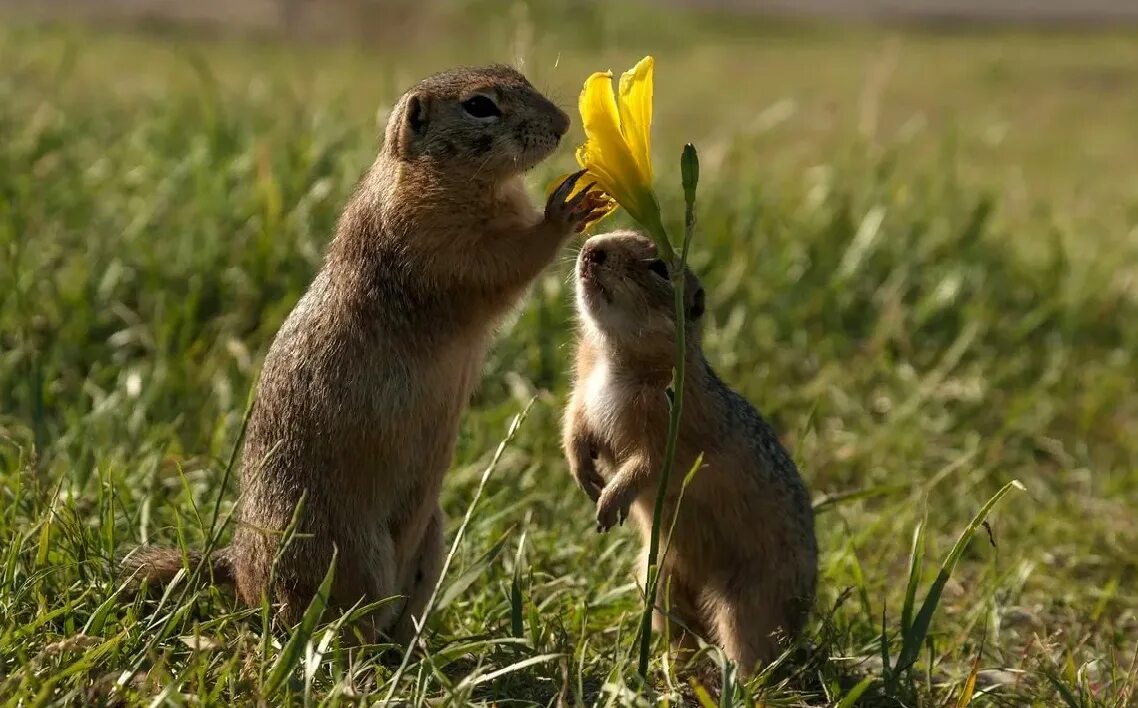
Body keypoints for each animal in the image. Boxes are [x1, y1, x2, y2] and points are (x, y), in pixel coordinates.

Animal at [122, 66, 605, 641]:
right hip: (349, 552)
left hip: (430, 541)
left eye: (521, 77)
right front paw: (565, 210)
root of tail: (237, 565)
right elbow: (504, 261)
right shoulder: (438, 243)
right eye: (480, 106)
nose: (563, 123)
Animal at [562, 232, 819, 678]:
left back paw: (735, 681)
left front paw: (609, 503)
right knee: (681, 632)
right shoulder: (583, 391)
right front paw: (583, 474)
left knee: (753, 649)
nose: (592, 249)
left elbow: (646, 465)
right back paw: (673, 667)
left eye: (661, 268)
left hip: (746, 601)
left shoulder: (673, 427)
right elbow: (574, 425)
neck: (614, 356)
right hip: (659, 578)